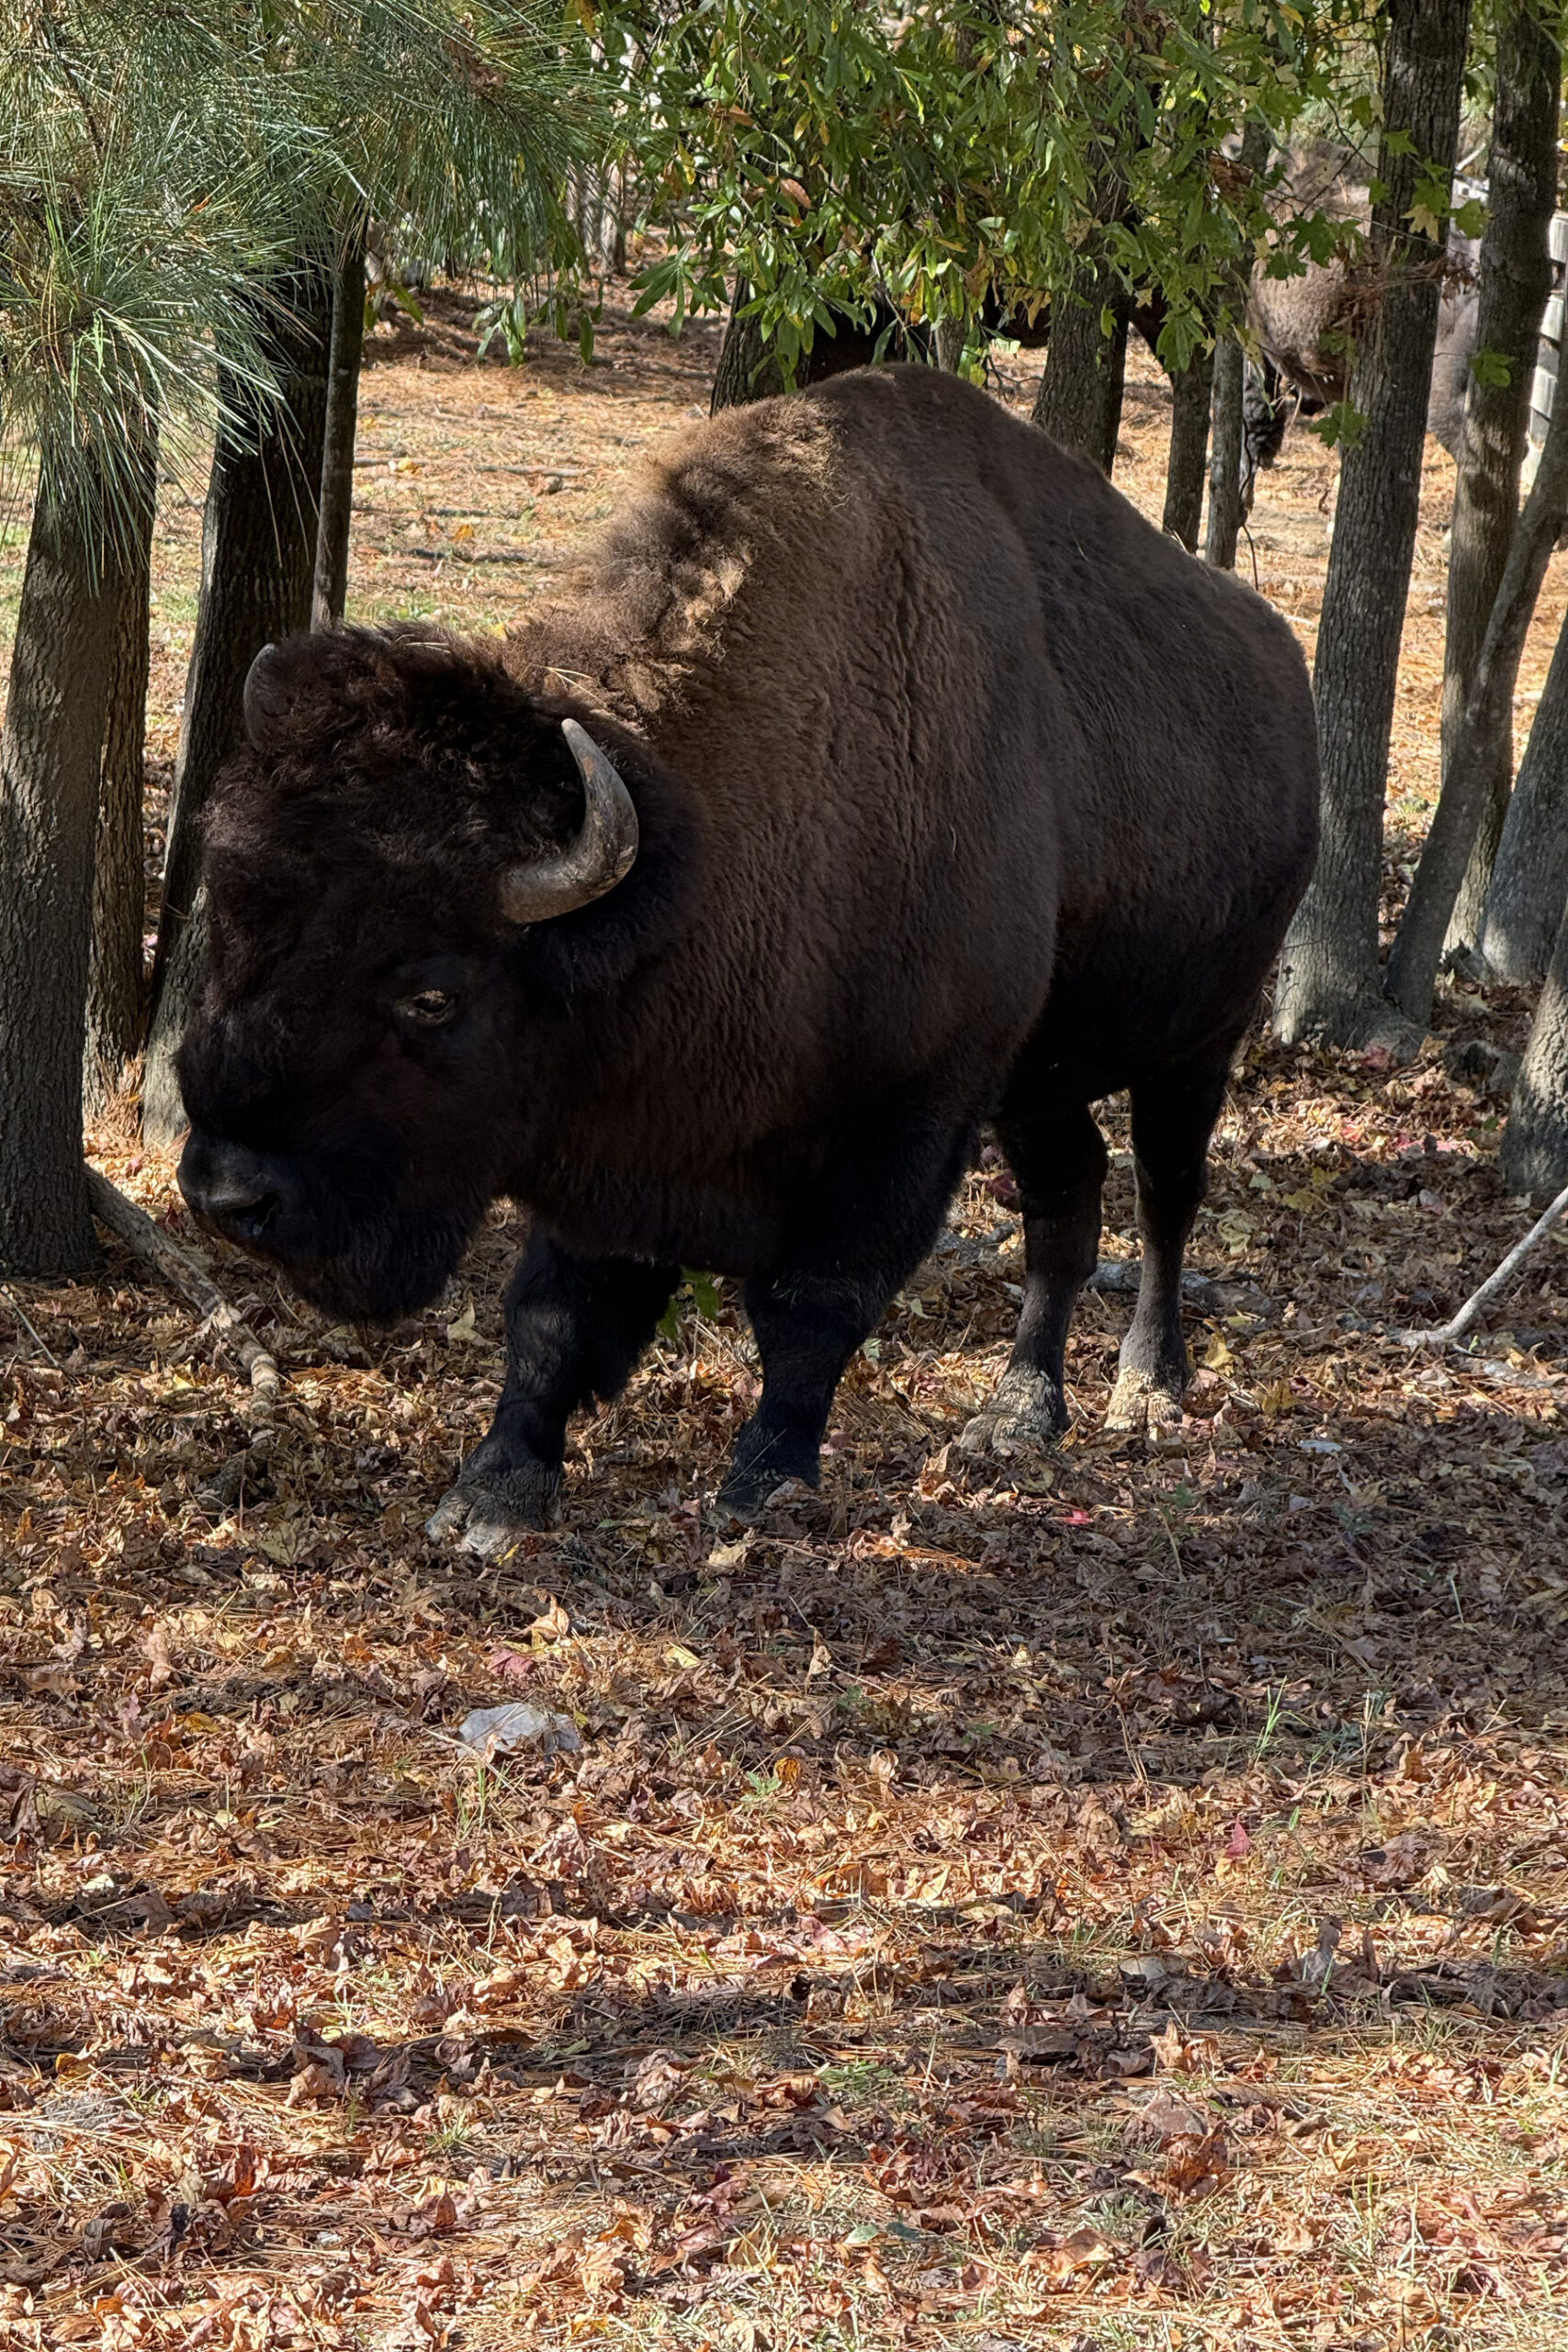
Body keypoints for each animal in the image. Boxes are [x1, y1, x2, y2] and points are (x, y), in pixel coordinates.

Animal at [177, 365, 1319, 1553]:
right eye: (228, 919)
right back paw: (1016, 1413)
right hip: (1039, 1077)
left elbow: (815, 1302)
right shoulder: (620, 1135)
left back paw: (1147, 1387)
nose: (227, 1196)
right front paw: (492, 1490)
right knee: (1067, 1200)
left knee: (1164, 1193)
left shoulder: (910, 1113)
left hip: (1200, 1037)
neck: (695, 860)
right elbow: (553, 1317)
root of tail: (1285, 669)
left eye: (433, 995)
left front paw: (763, 1480)